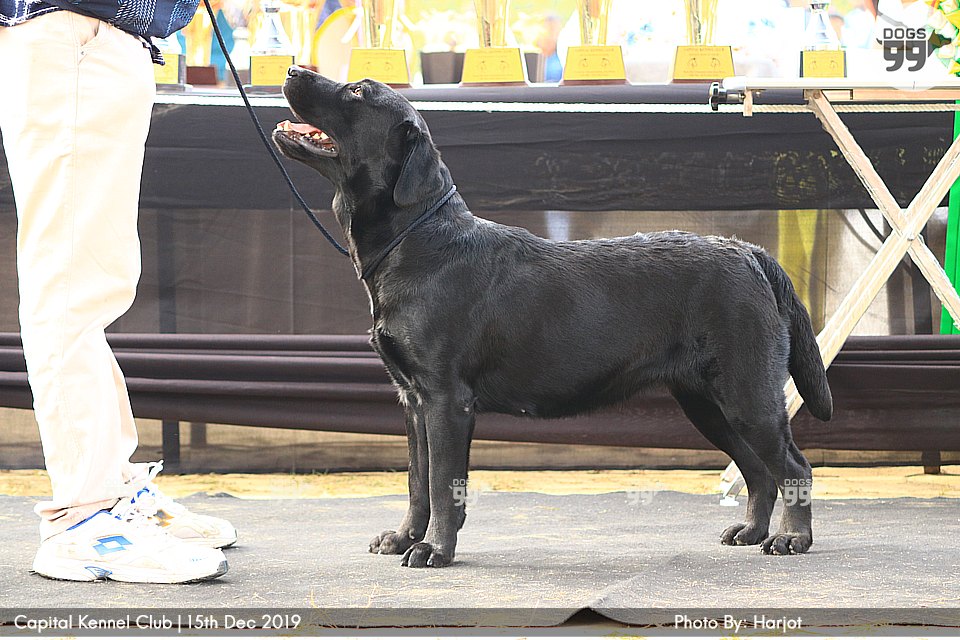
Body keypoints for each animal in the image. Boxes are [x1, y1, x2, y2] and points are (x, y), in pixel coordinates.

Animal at [273, 67, 833, 568]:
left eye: (357, 91)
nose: (293, 69)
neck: (417, 241)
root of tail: (748, 251)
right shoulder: (412, 398)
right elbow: (417, 480)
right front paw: (405, 537)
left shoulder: (447, 399)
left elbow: (444, 485)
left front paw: (434, 550)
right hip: (707, 401)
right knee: (758, 469)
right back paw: (752, 531)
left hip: (745, 392)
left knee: (794, 465)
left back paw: (791, 539)